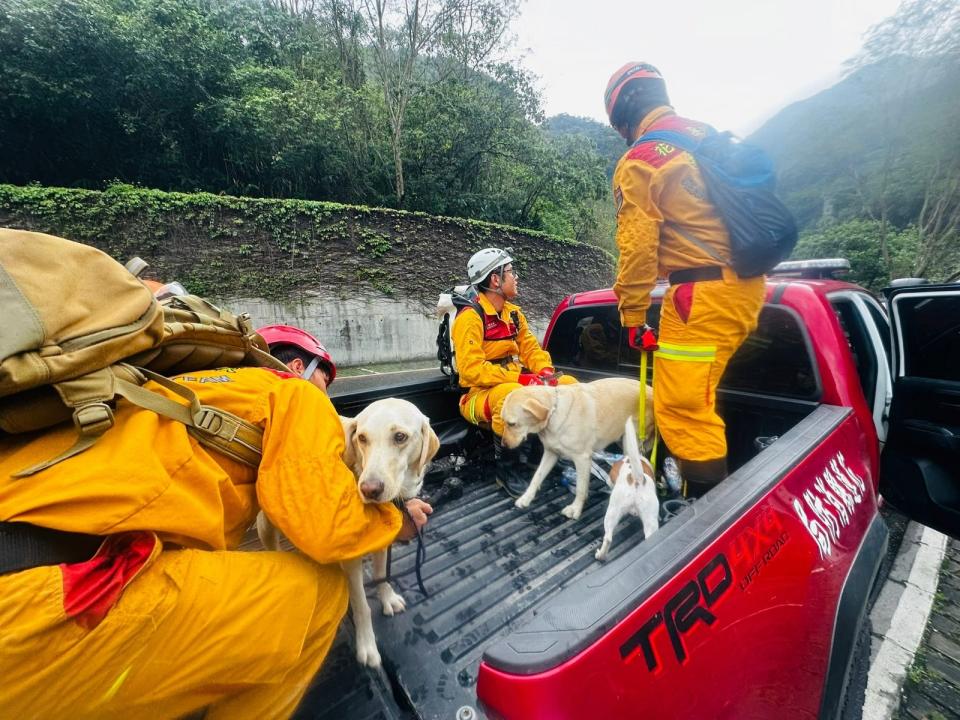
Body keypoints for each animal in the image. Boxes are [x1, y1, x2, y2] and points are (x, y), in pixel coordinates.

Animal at [253, 396, 436, 668]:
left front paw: (388, 598)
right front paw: (367, 645)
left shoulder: (382, 542)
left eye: (400, 437)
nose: (369, 489)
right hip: (267, 523)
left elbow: (382, 575)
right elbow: (362, 606)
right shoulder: (351, 561)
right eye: (362, 438)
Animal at [502, 374, 652, 520]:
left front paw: (575, 509)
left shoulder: (582, 459)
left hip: (630, 440)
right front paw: (526, 498)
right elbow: (537, 477)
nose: (504, 445)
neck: (554, 413)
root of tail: (649, 388)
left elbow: (581, 488)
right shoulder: (551, 453)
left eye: (512, 424)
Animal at [592, 416, 660, 564]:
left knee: (608, 537)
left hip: (612, 511)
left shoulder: (610, 478)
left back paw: (600, 555)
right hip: (648, 519)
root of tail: (637, 478)